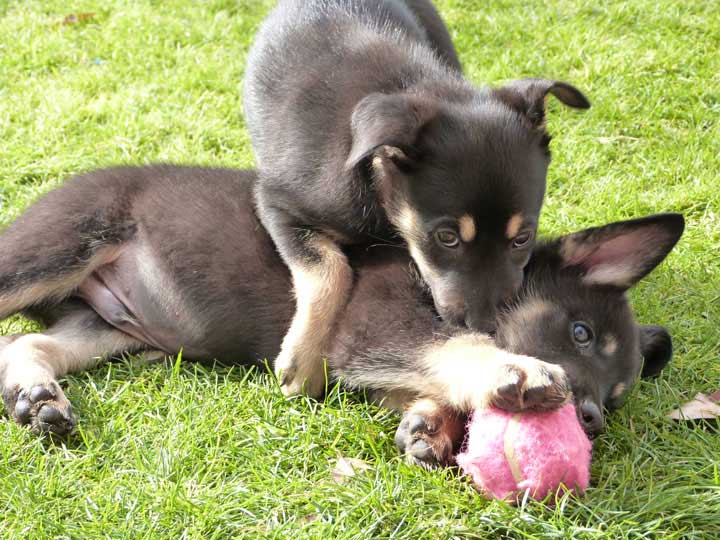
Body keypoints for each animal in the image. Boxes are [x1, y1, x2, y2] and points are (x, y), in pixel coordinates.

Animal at [0, 163, 680, 468]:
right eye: (580, 333)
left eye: (616, 398)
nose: (590, 419)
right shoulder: (374, 328)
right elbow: (455, 348)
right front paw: (513, 372)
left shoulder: (378, 361)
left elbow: (433, 380)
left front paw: (431, 426)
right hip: (56, 249)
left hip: (112, 327)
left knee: (25, 346)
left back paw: (37, 399)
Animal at [242, 0, 592, 396]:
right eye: (447, 237)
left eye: (522, 238)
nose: (486, 328)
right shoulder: (277, 204)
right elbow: (328, 269)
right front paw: (303, 362)